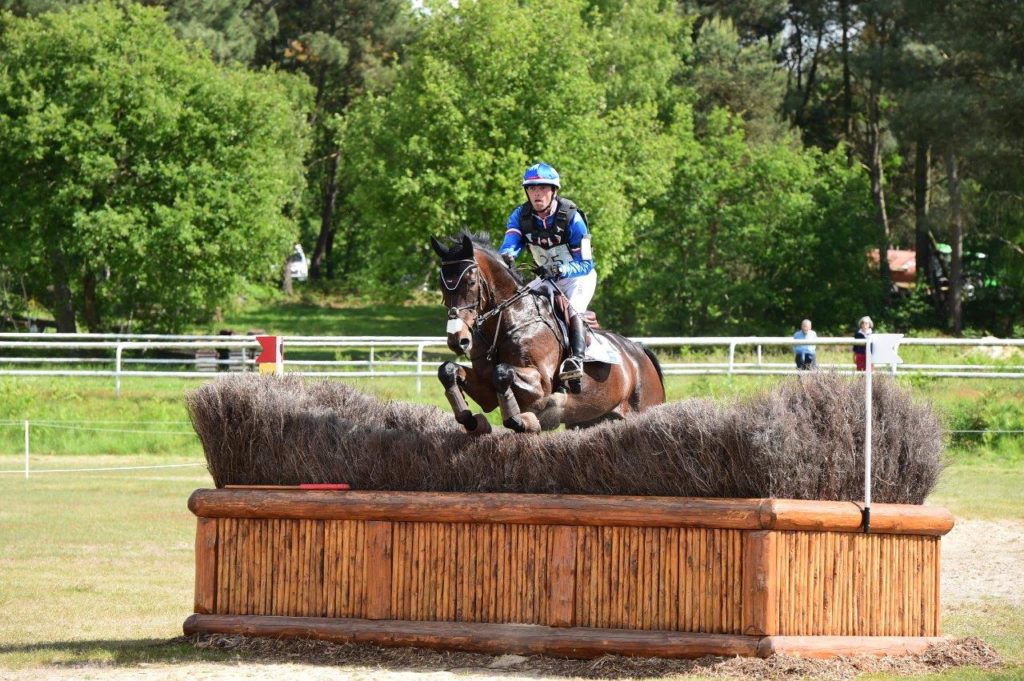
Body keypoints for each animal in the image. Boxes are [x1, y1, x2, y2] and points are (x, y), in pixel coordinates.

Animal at [430, 233, 663, 432]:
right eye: (441, 285)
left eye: (470, 282)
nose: (458, 341)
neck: (510, 318)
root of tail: (638, 350)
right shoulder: (485, 389)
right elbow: (448, 370)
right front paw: (471, 421)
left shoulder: (540, 385)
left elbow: (502, 372)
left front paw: (521, 421)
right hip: (592, 418)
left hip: (644, 406)